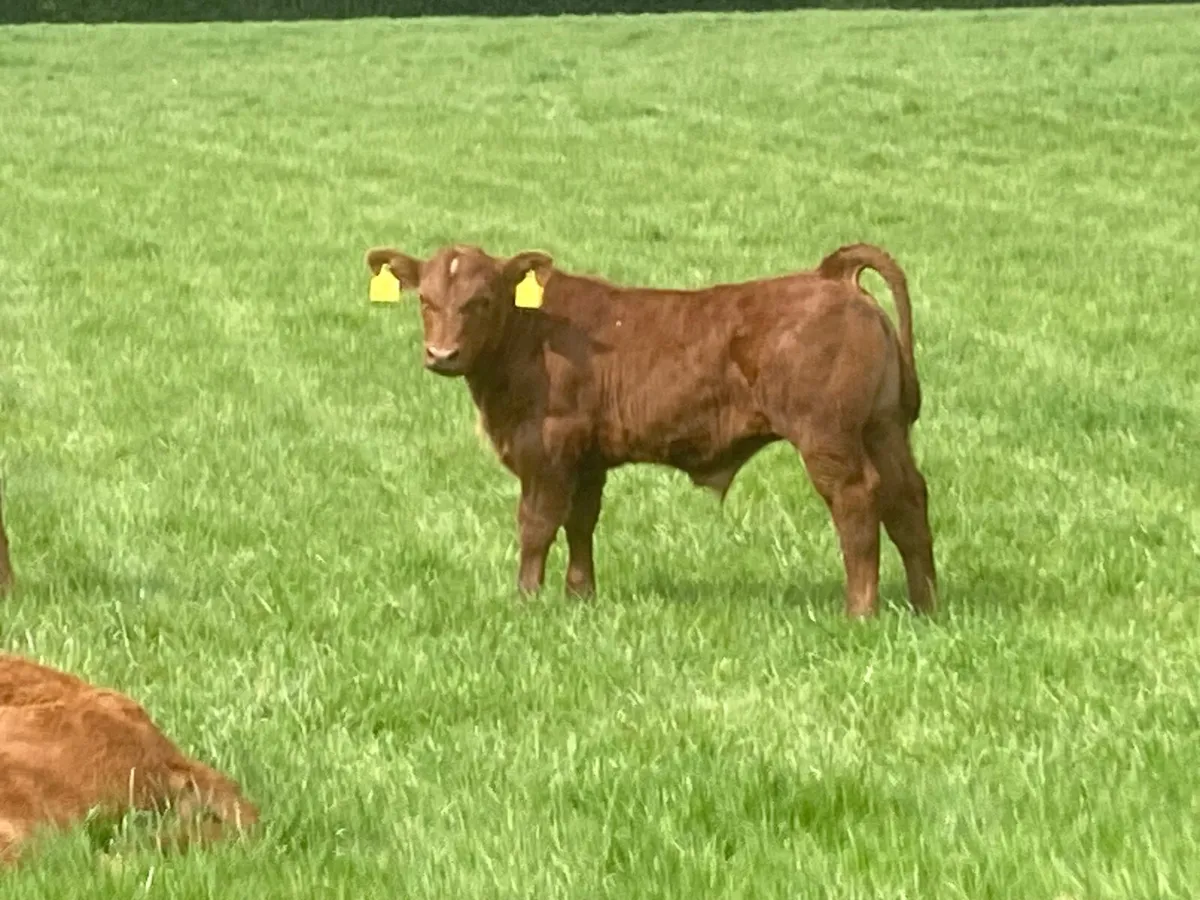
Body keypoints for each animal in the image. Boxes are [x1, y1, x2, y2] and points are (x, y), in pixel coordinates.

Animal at [364, 241, 936, 618]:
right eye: (425, 300)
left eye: (480, 300)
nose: (442, 354)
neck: (531, 334)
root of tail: (829, 277)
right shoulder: (588, 459)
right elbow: (580, 523)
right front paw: (580, 597)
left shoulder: (547, 449)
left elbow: (537, 525)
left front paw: (526, 599)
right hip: (884, 429)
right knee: (908, 501)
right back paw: (924, 603)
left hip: (829, 438)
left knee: (858, 500)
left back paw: (859, 611)